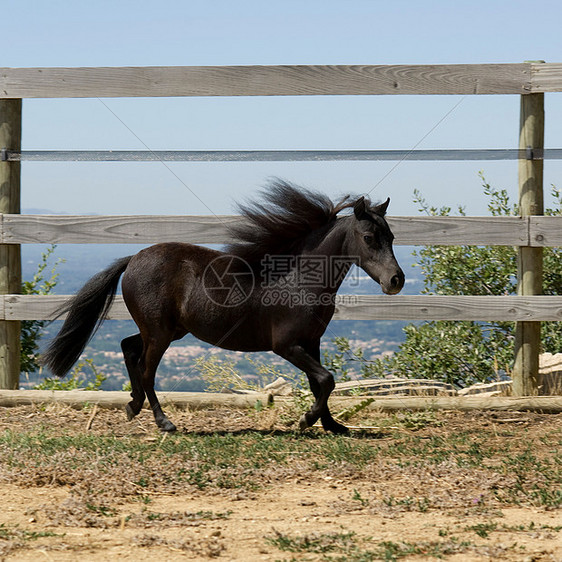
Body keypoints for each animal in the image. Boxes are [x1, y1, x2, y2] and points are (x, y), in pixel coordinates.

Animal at [41, 182, 400, 430]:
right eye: (369, 238)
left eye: (392, 237)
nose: (396, 280)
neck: (298, 282)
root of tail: (133, 259)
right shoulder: (287, 345)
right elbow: (326, 380)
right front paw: (307, 420)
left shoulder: (312, 342)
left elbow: (319, 382)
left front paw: (332, 425)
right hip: (160, 333)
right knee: (145, 368)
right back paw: (163, 421)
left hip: (168, 330)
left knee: (128, 347)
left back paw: (133, 406)